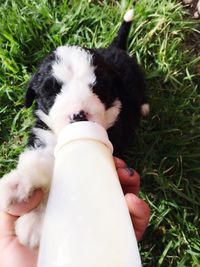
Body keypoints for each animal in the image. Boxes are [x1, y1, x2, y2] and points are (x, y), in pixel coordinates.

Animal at [0, 9, 148, 249]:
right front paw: (16, 184)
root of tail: (115, 48)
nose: (78, 116)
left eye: (98, 88)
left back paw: (144, 107)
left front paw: (36, 223)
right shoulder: (46, 137)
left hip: (137, 79)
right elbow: (38, 162)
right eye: (52, 91)